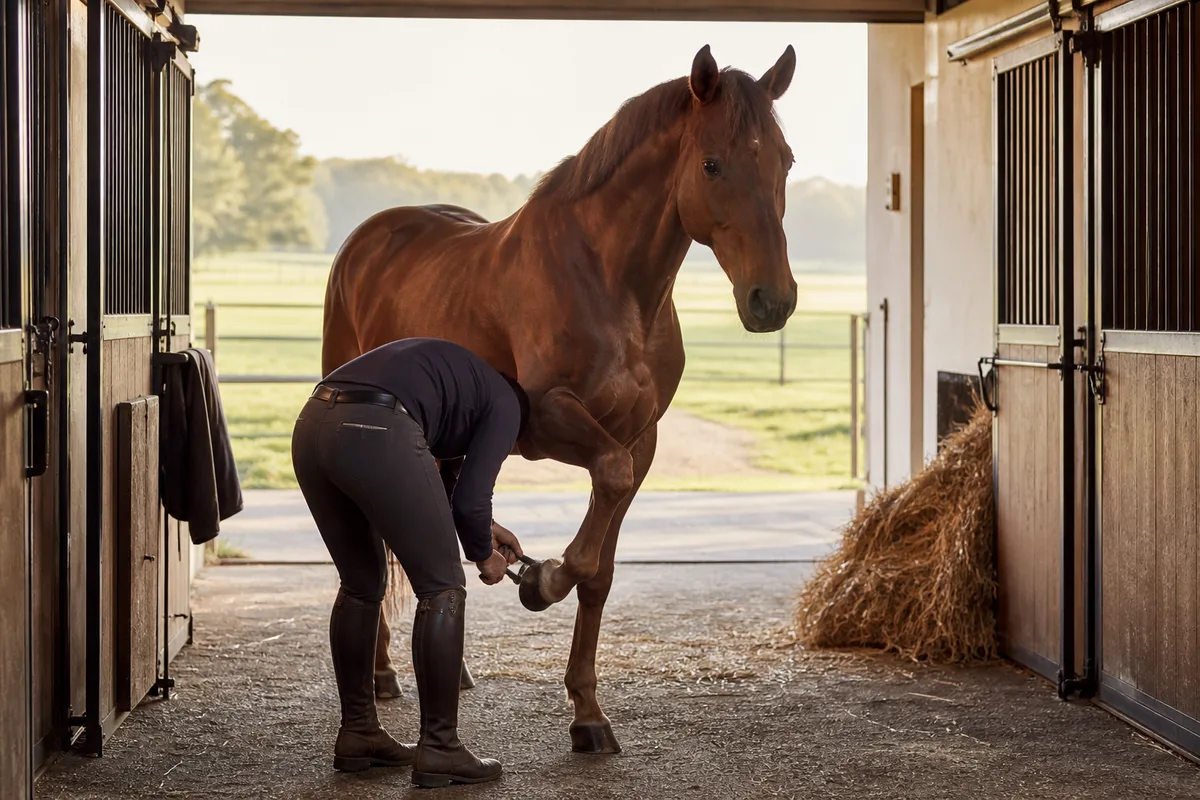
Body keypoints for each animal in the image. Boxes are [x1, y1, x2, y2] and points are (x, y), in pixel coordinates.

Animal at [320, 44, 798, 753]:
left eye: (785, 160)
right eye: (713, 163)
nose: (773, 300)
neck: (611, 285)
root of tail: (368, 239)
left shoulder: (639, 441)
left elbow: (600, 567)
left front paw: (588, 715)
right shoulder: (548, 421)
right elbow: (592, 517)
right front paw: (541, 581)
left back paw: (442, 669)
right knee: (376, 547)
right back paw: (380, 673)